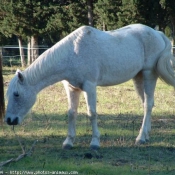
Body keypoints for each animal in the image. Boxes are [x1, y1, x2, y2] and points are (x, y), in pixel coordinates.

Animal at [4, 22, 174, 149]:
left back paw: (140, 138)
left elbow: (92, 113)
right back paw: (146, 135)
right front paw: (68, 142)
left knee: (148, 105)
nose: (9, 120)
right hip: (138, 78)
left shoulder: (89, 86)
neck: (72, 54)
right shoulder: (72, 88)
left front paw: (94, 143)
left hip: (148, 74)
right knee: (147, 104)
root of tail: (157, 33)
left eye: (16, 94)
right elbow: (71, 113)